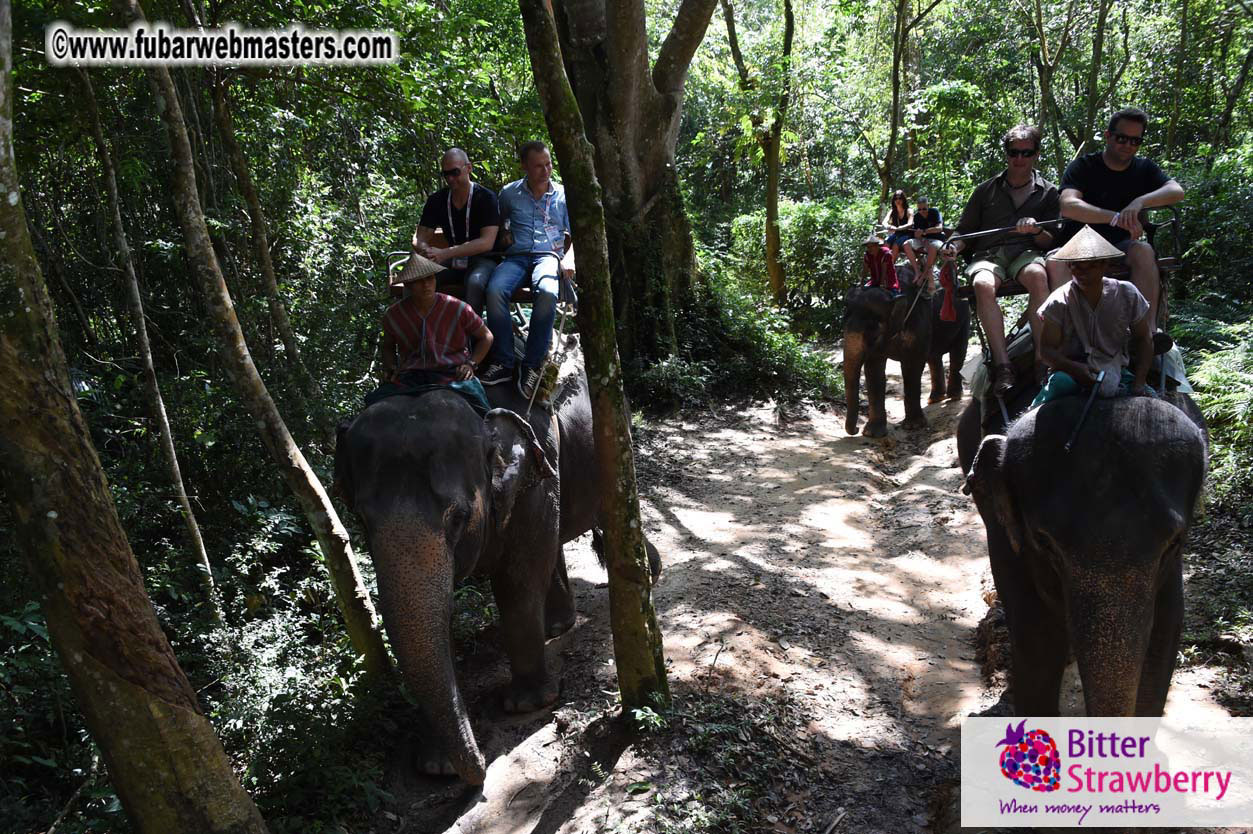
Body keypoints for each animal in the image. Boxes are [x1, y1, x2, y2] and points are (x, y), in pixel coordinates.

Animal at [334, 356, 656, 784]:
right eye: (361, 520)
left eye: (458, 518)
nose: (481, 770)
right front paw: (436, 766)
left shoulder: (537, 463)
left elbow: (518, 578)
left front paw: (525, 704)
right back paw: (557, 626)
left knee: (610, 512)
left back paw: (647, 574)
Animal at [843, 269, 971, 437]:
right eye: (844, 320)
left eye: (873, 332)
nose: (856, 430)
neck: (891, 292)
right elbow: (873, 369)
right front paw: (872, 433)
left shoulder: (918, 322)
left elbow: (912, 365)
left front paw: (913, 426)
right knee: (934, 357)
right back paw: (935, 399)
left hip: (964, 317)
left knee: (958, 352)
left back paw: (954, 396)